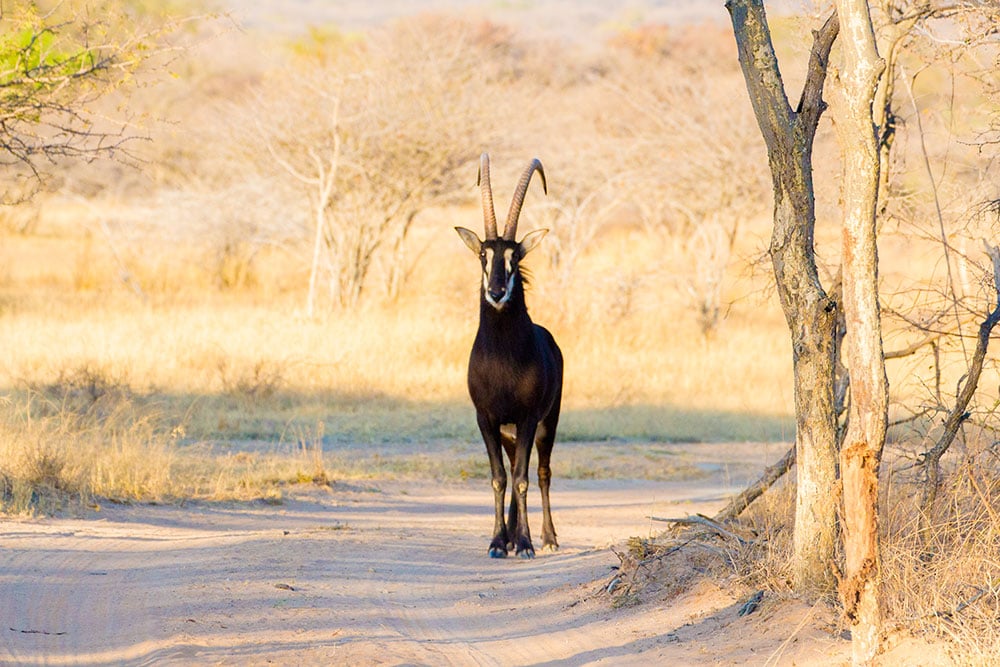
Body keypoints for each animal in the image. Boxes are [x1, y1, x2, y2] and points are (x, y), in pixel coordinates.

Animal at [455, 153, 563, 559]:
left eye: (514, 255)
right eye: (482, 254)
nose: (497, 292)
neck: (502, 358)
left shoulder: (529, 417)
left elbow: (522, 479)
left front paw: (527, 543)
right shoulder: (486, 418)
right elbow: (500, 479)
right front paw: (499, 542)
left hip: (548, 423)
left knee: (541, 473)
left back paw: (546, 538)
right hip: (509, 431)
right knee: (517, 467)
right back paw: (513, 535)